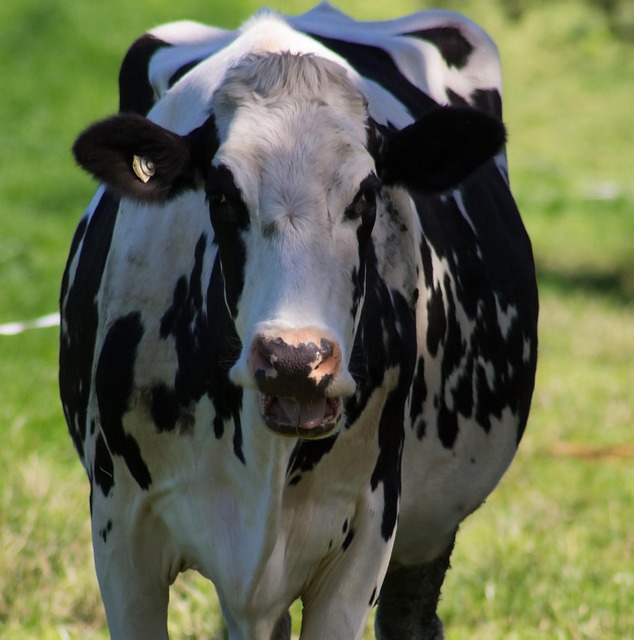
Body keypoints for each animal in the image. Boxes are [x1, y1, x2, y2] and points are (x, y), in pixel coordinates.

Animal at [60, 4, 538, 639]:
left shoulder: (368, 531)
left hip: (429, 530)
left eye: (366, 194)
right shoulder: (119, 530)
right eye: (221, 194)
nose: (294, 358)